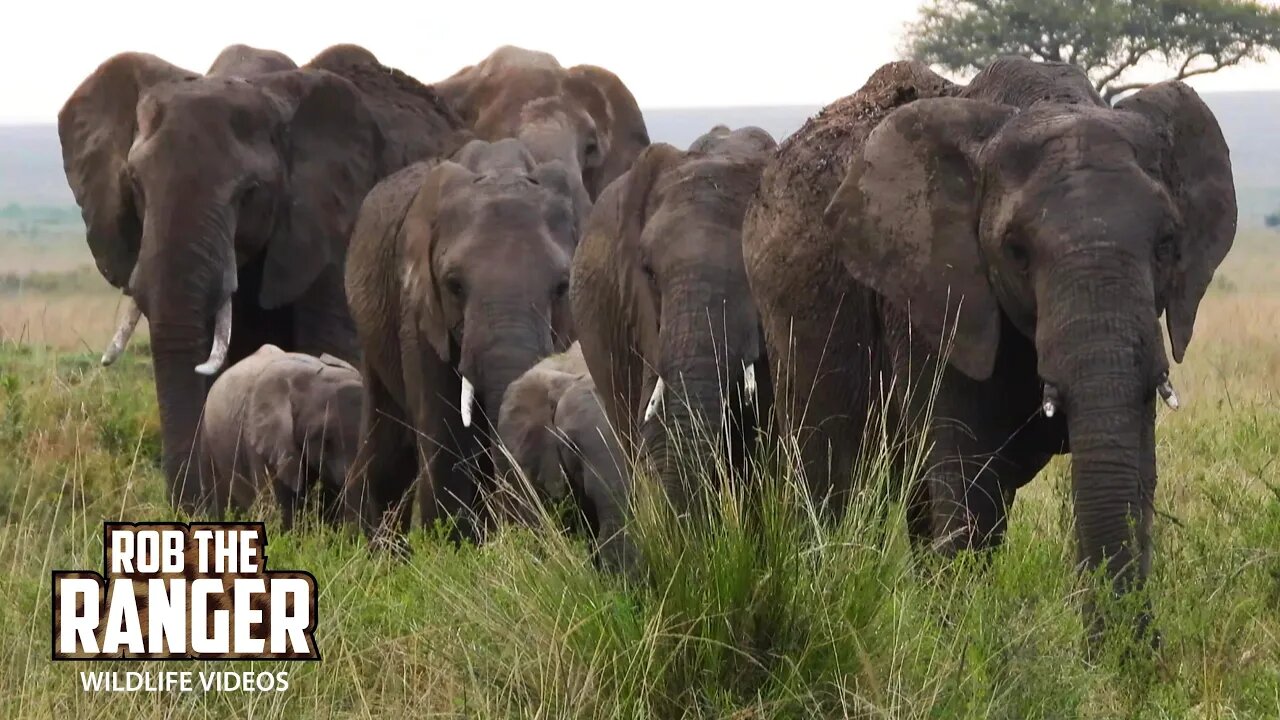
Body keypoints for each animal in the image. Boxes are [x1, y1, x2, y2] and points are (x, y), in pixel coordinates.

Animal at [343, 138, 586, 544]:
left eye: (562, 287)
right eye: (454, 285)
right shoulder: (417, 312)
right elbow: (444, 435)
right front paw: (447, 547)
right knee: (387, 448)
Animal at [742, 57, 1236, 642]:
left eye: (1166, 244)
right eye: (1015, 251)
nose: (1133, 644)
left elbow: (1136, 463)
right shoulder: (932, 300)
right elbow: (970, 481)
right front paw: (965, 651)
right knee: (836, 491)